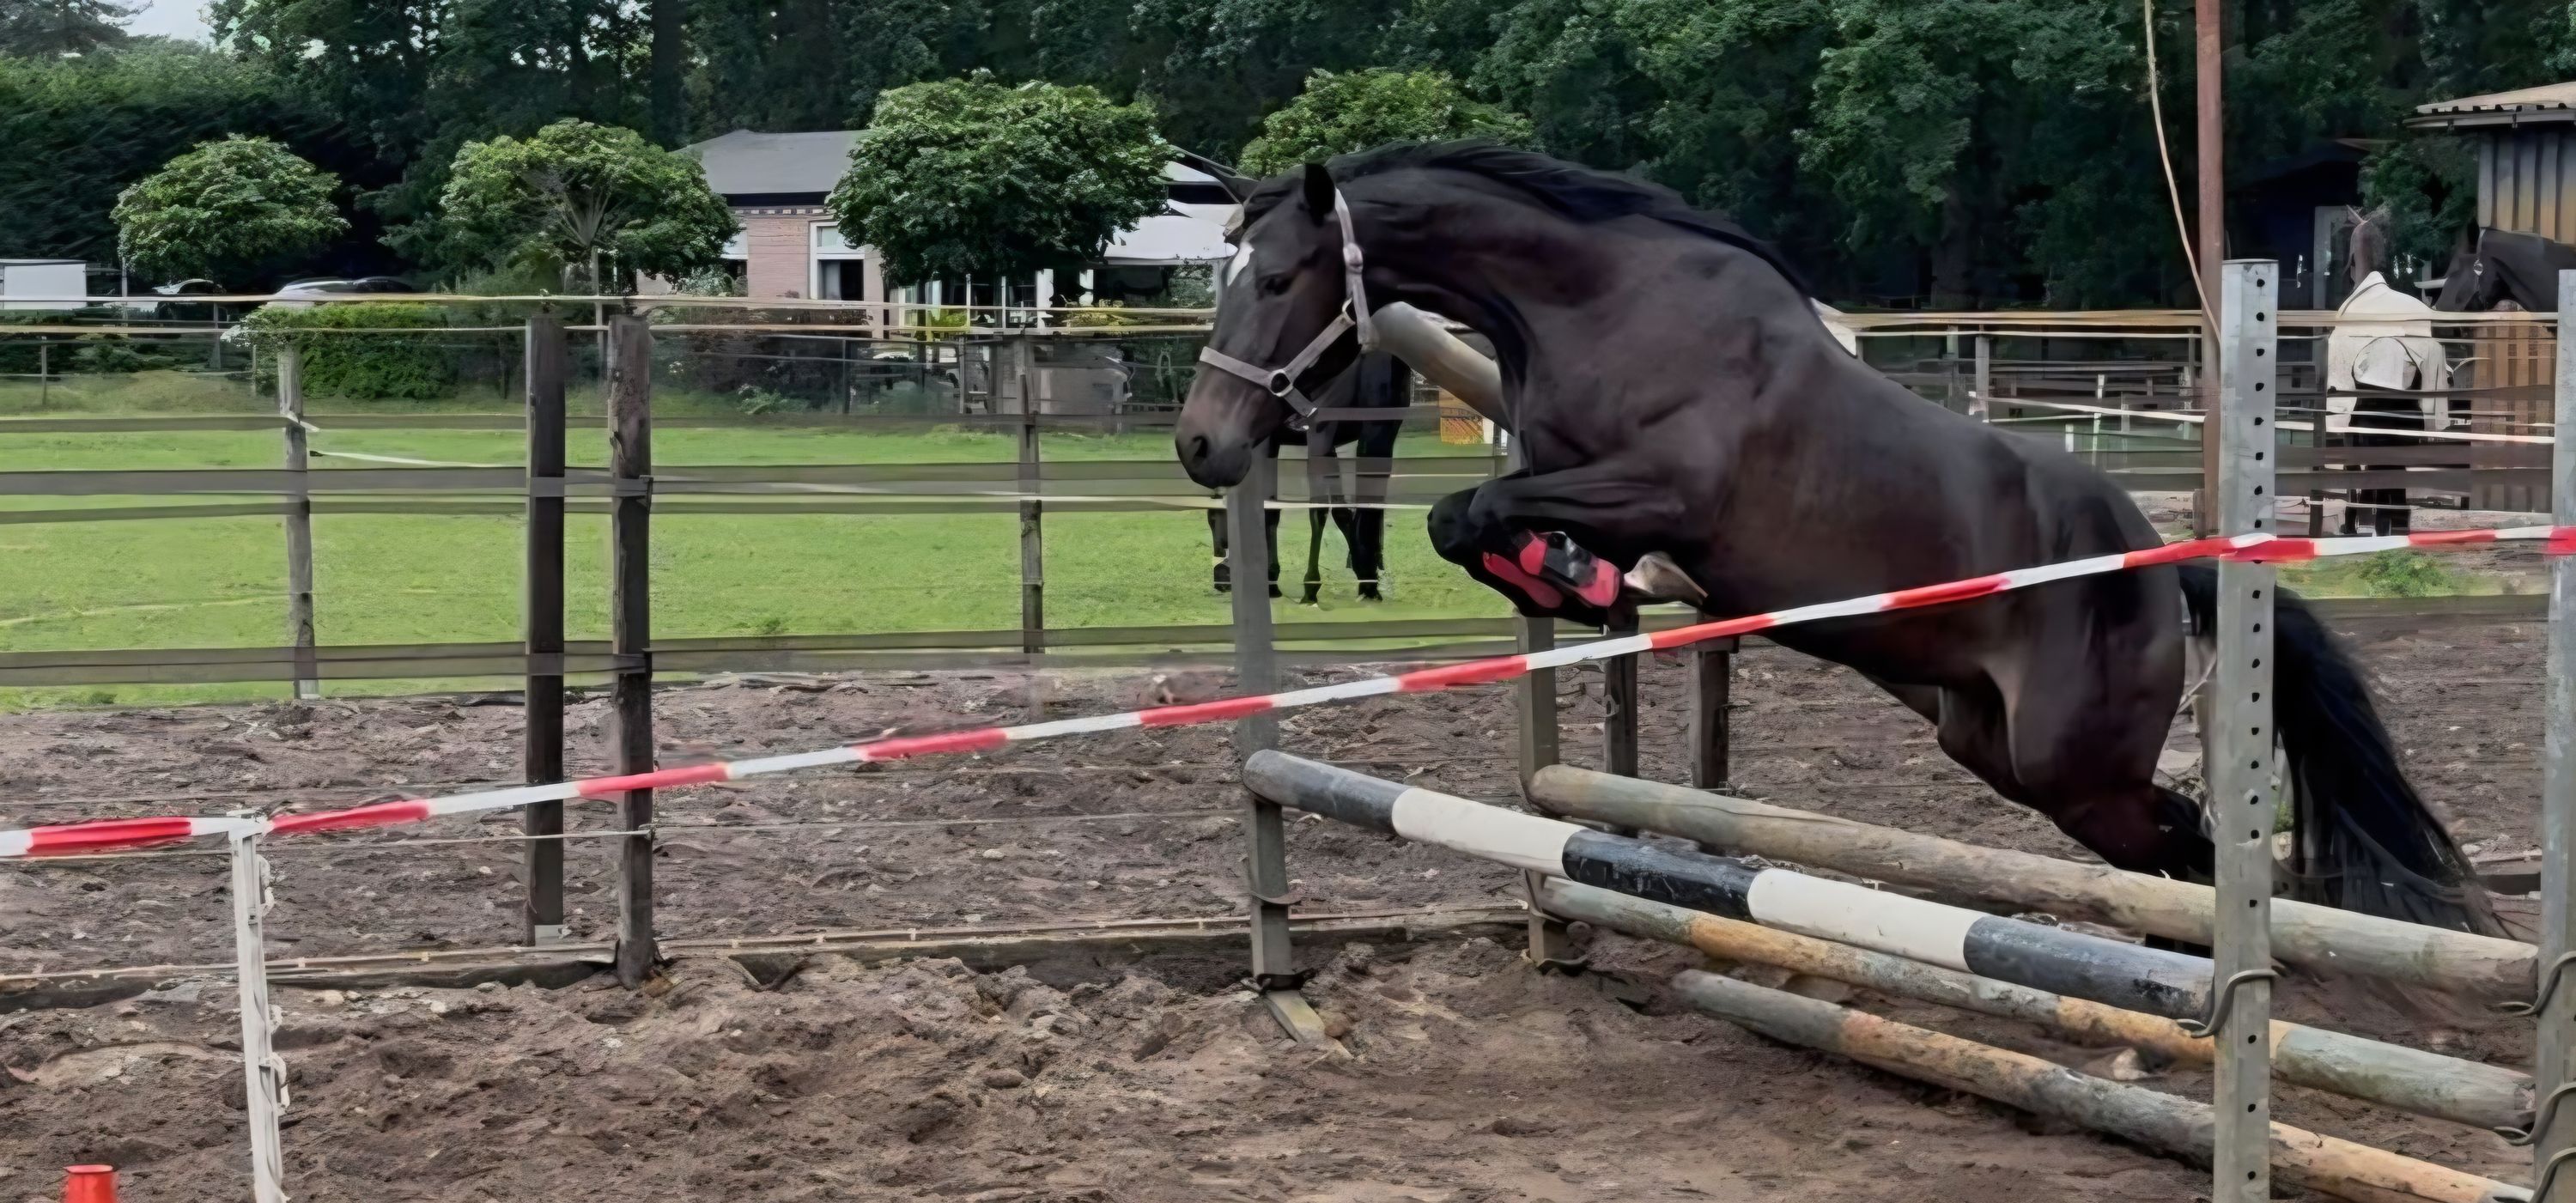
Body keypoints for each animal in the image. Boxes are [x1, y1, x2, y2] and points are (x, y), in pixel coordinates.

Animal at [1204, 350, 1412, 603]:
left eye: (1213, 520)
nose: (1221, 582)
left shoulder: (1269, 444)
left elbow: (1270, 510)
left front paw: (1271, 581)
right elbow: (1342, 512)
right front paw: (1363, 572)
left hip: (1320, 434)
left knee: (1318, 511)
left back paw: (1311, 586)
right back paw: (1368, 584)